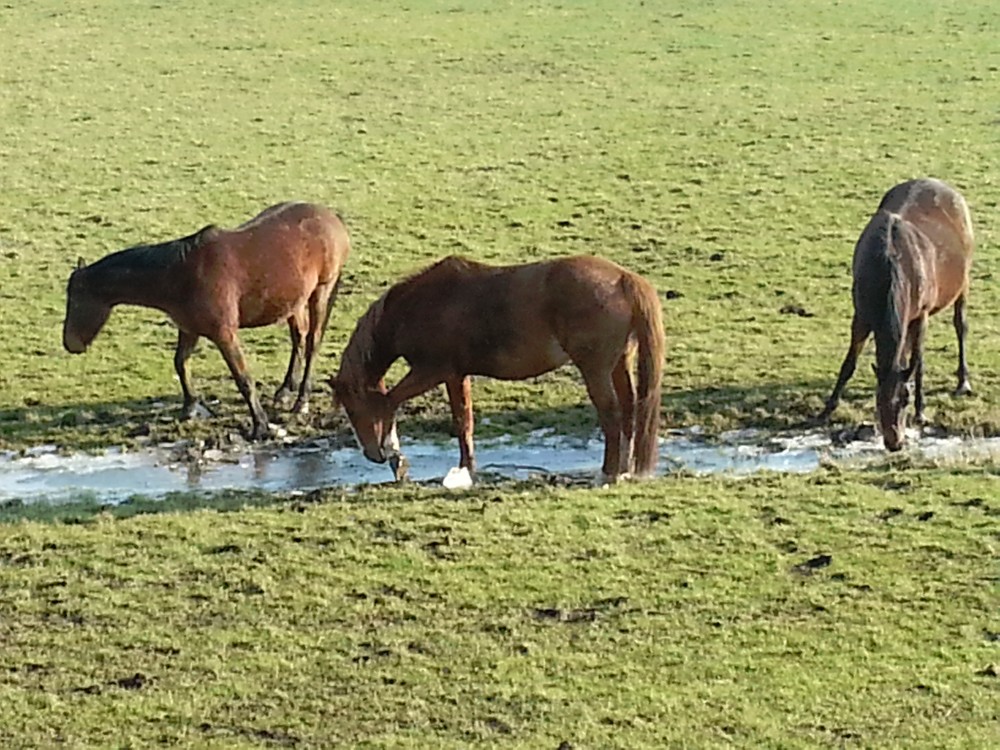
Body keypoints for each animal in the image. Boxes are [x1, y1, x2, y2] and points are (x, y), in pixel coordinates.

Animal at [63, 203, 352, 444]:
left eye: (75, 301)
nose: (70, 344)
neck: (182, 273)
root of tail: (332, 218)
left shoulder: (224, 334)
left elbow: (243, 379)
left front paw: (260, 426)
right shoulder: (189, 329)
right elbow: (180, 363)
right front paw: (190, 407)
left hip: (320, 293)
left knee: (312, 342)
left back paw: (301, 400)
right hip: (294, 302)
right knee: (298, 337)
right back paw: (284, 390)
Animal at [328, 256, 664, 484]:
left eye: (353, 410)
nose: (373, 455)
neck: (422, 305)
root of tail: (623, 279)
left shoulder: (432, 371)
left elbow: (393, 403)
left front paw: (398, 458)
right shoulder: (456, 375)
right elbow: (464, 423)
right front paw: (466, 469)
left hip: (595, 370)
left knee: (611, 414)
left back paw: (609, 473)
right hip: (619, 364)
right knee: (629, 409)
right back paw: (624, 470)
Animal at [816, 179, 972, 450]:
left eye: (905, 400)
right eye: (878, 400)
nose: (894, 442)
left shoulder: (921, 314)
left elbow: (918, 361)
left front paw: (921, 411)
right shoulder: (862, 315)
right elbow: (849, 363)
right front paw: (827, 409)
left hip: (963, 284)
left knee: (960, 325)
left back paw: (963, 382)